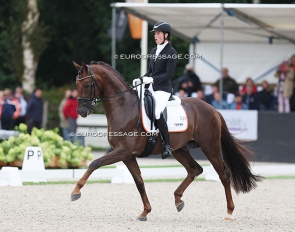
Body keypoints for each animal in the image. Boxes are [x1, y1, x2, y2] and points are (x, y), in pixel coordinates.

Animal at [71, 61, 264, 221]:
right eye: (76, 84)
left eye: (86, 85)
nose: (81, 111)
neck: (123, 106)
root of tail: (212, 109)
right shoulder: (127, 156)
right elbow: (139, 182)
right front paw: (145, 212)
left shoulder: (122, 151)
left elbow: (94, 163)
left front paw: (75, 191)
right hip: (179, 149)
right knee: (195, 169)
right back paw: (178, 199)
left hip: (210, 147)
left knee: (223, 174)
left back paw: (229, 212)